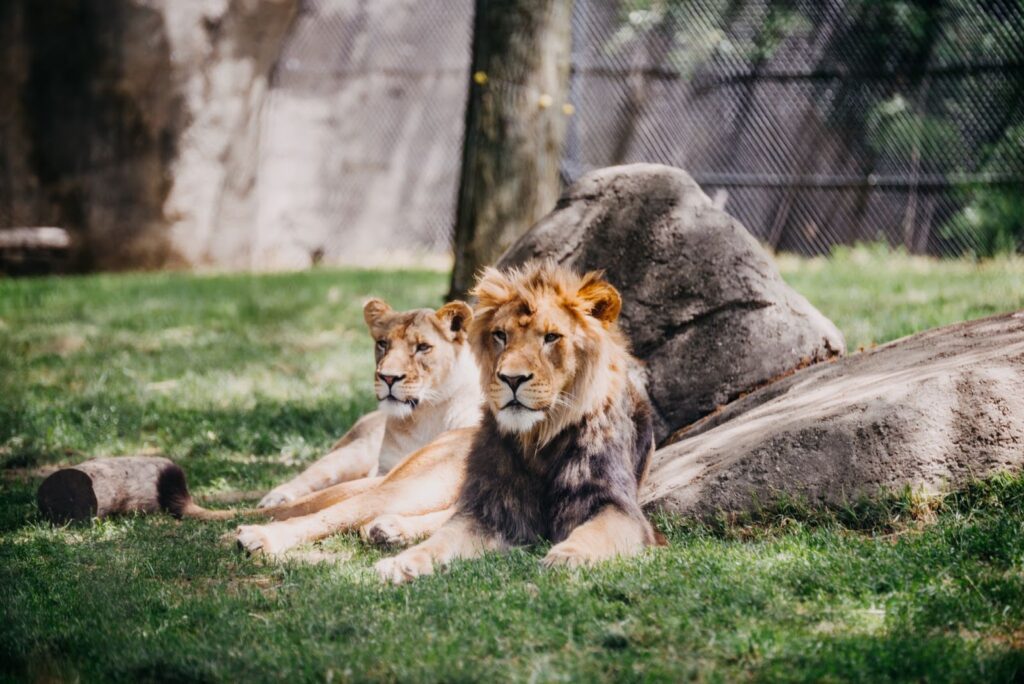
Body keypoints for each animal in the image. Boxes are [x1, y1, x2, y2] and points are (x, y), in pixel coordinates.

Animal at [372, 262, 659, 581]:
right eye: (500, 335)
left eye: (551, 337)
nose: (512, 379)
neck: (540, 439)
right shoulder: (492, 506)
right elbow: (445, 537)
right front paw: (402, 563)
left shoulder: (618, 507)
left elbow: (595, 532)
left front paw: (566, 557)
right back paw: (390, 528)